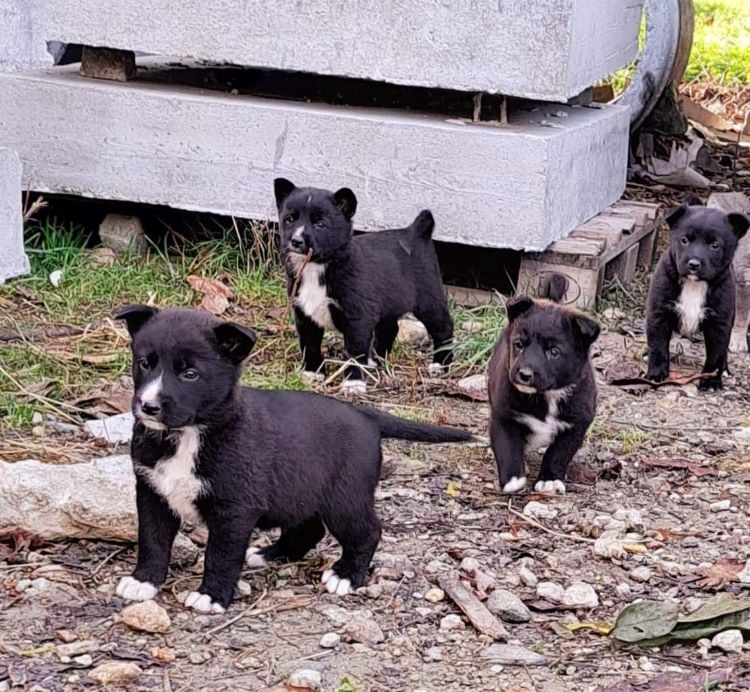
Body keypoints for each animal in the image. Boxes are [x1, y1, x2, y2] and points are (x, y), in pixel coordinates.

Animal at [114, 306, 472, 612]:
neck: (189, 435)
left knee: (369, 531)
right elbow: (152, 540)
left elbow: (220, 555)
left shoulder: (234, 510)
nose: (148, 407)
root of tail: (366, 416)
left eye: (190, 374)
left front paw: (211, 596)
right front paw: (143, 582)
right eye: (144, 363)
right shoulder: (153, 493)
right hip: (300, 491)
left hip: (345, 498)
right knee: (309, 530)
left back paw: (346, 575)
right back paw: (271, 553)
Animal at [274, 178, 456, 394]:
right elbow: (309, 344)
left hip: (428, 299)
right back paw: (374, 361)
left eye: (320, 224)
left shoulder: (357, 318)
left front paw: (353, 383)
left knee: (443, 327)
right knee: (389, 329)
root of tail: (415, 232)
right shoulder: (305, 314)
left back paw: (441, 364)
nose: (296, 241)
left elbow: (354, 350)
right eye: (289, 219)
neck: (319, 266)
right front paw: (312, 372)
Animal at [488, 274, 604, 494]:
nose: (524, 374)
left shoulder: (577, 423)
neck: (547, 396)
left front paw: (550, 479)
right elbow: (508, 447)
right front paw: (513, 479)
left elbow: (559, 452)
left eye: (554, 352)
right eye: (519, 344)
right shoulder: (504, 415)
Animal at [648, 197, 748, 392]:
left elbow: (716, 354)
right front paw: (656, 374)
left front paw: (711, 382)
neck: (694, 284)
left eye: (715, 245)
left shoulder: (719, 323)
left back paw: (725, 370)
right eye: (684, 240)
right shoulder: (659, 314)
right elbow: (658, 346)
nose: (694, 264)